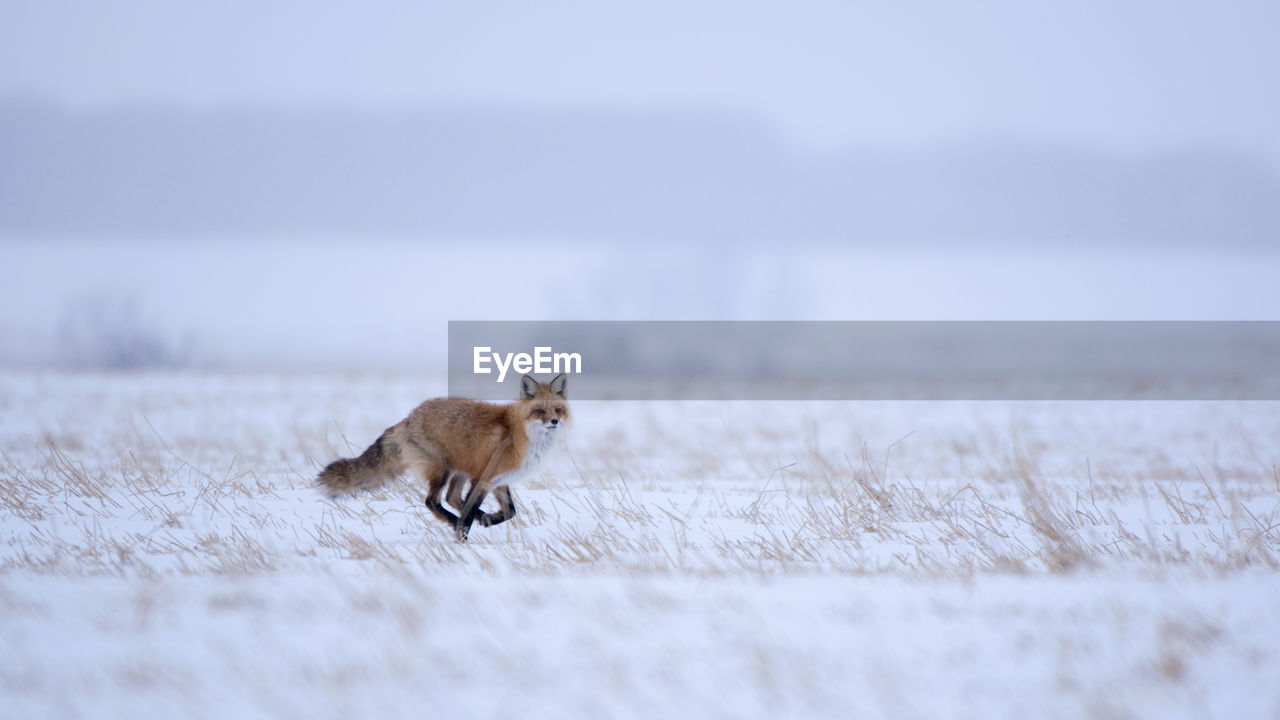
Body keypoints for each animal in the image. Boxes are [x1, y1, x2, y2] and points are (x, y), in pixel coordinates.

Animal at [316, 371, 570, 540]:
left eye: (557, 410)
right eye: (539, 411)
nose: (554, 421)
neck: (519, 433)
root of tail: (407, 419)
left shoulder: (497, 479)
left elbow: (510, 511)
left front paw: (486, 520)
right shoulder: (484, 478)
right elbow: (471, 515)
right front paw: (462, 539)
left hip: (459, 470)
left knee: (451, 498)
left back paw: (476, 517)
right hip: (442, 471)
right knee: (433, 501)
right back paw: (455, 520)